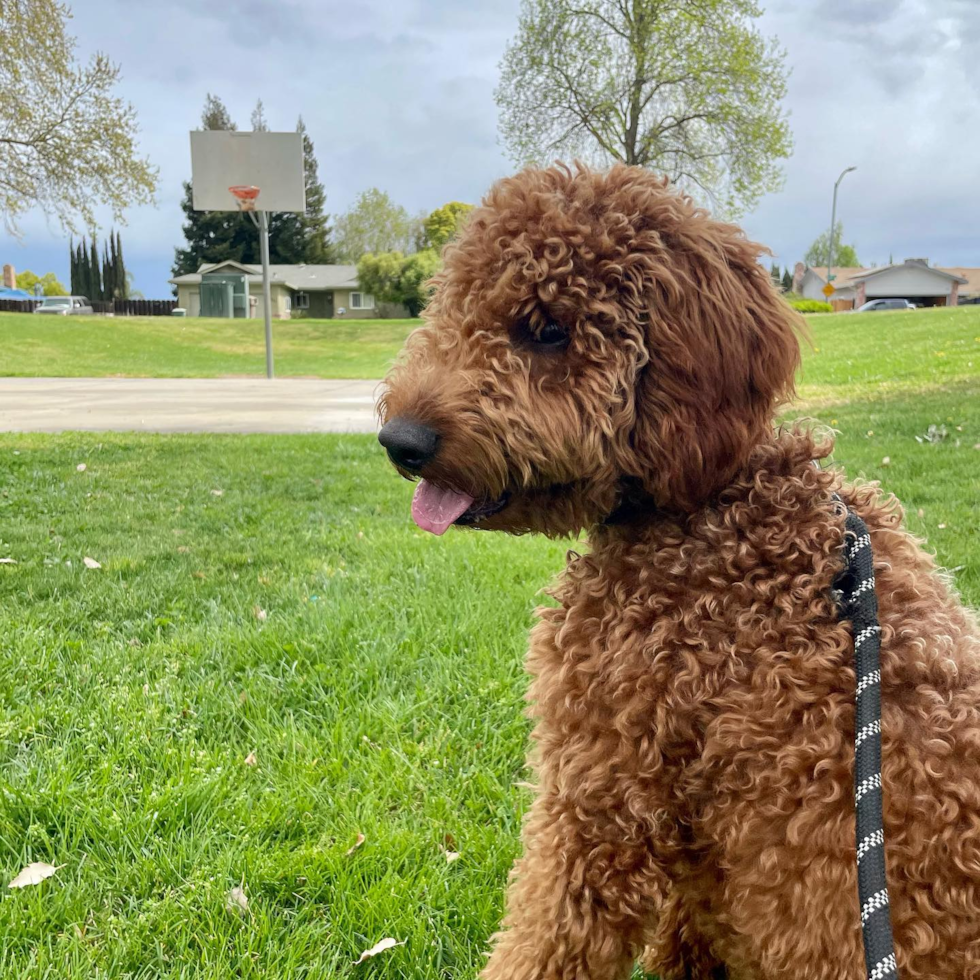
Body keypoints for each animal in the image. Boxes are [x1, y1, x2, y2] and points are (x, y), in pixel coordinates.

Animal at [376, 165, 980, 976]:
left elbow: (543, 939)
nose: (398, 440)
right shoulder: (694, 877)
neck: (707, 510)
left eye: (547, 329)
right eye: (451, 304)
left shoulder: (602, 794)